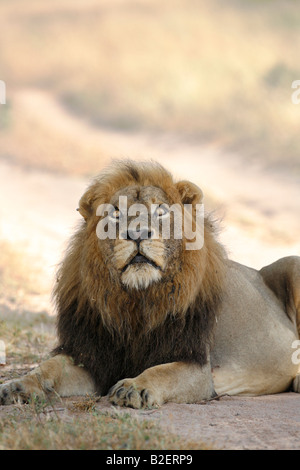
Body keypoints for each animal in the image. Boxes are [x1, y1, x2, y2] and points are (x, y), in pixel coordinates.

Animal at [0, 159, 300, 408]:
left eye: (160, 212)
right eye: (115, 214)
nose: (137, 233)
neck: (137, 299)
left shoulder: (196, 364)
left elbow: (162, 371)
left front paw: (135, 387)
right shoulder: (92, 355)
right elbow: (49, 367)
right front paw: (18, 386)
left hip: (293, 263)